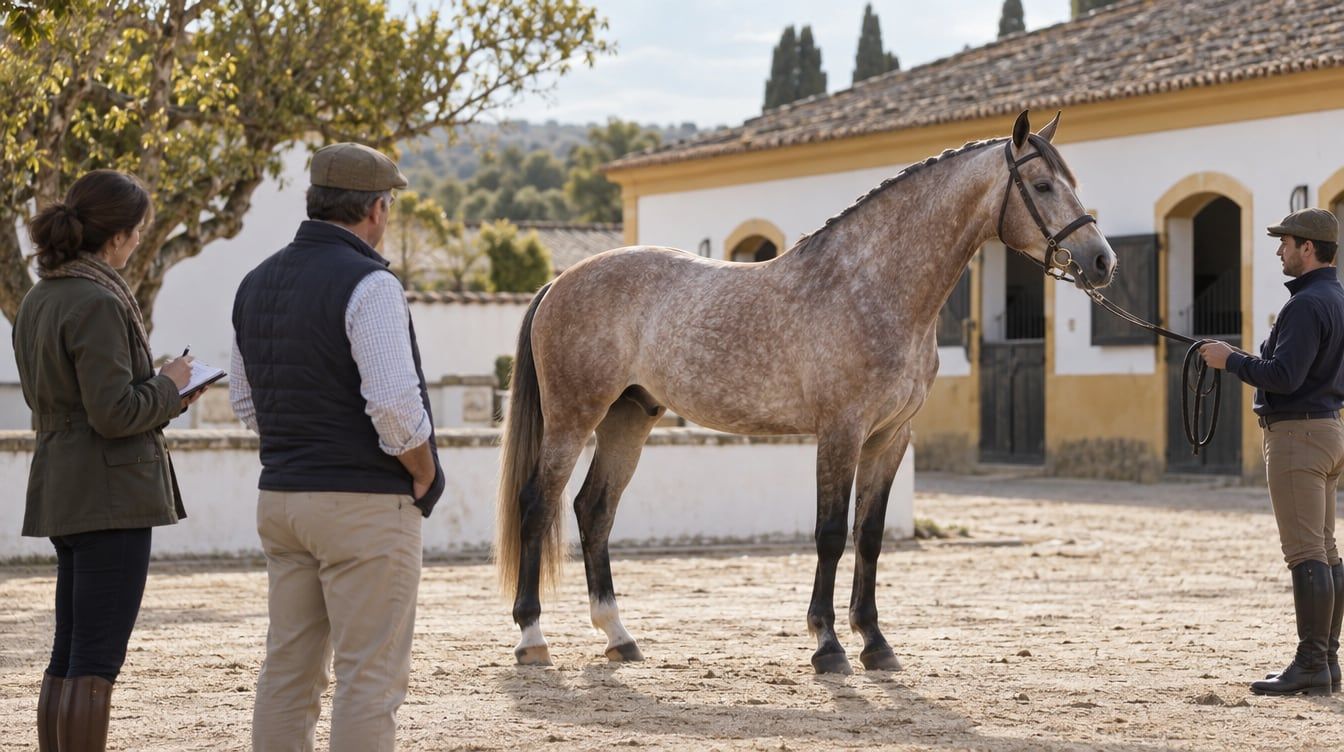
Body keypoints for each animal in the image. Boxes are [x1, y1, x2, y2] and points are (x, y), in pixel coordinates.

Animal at [494, 110, 1116, 674]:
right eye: (1042, 186)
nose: (1101, 261)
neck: (872, 287)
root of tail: (559, 282)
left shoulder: (890, 436)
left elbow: (870, 536)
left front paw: (876, 643)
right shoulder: (840, 431)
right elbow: (830, 534)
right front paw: (828, 645)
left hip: (629, 417)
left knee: (593, 509)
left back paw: (619, 636)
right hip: (574, 417)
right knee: (539, 503)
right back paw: (531, 638)